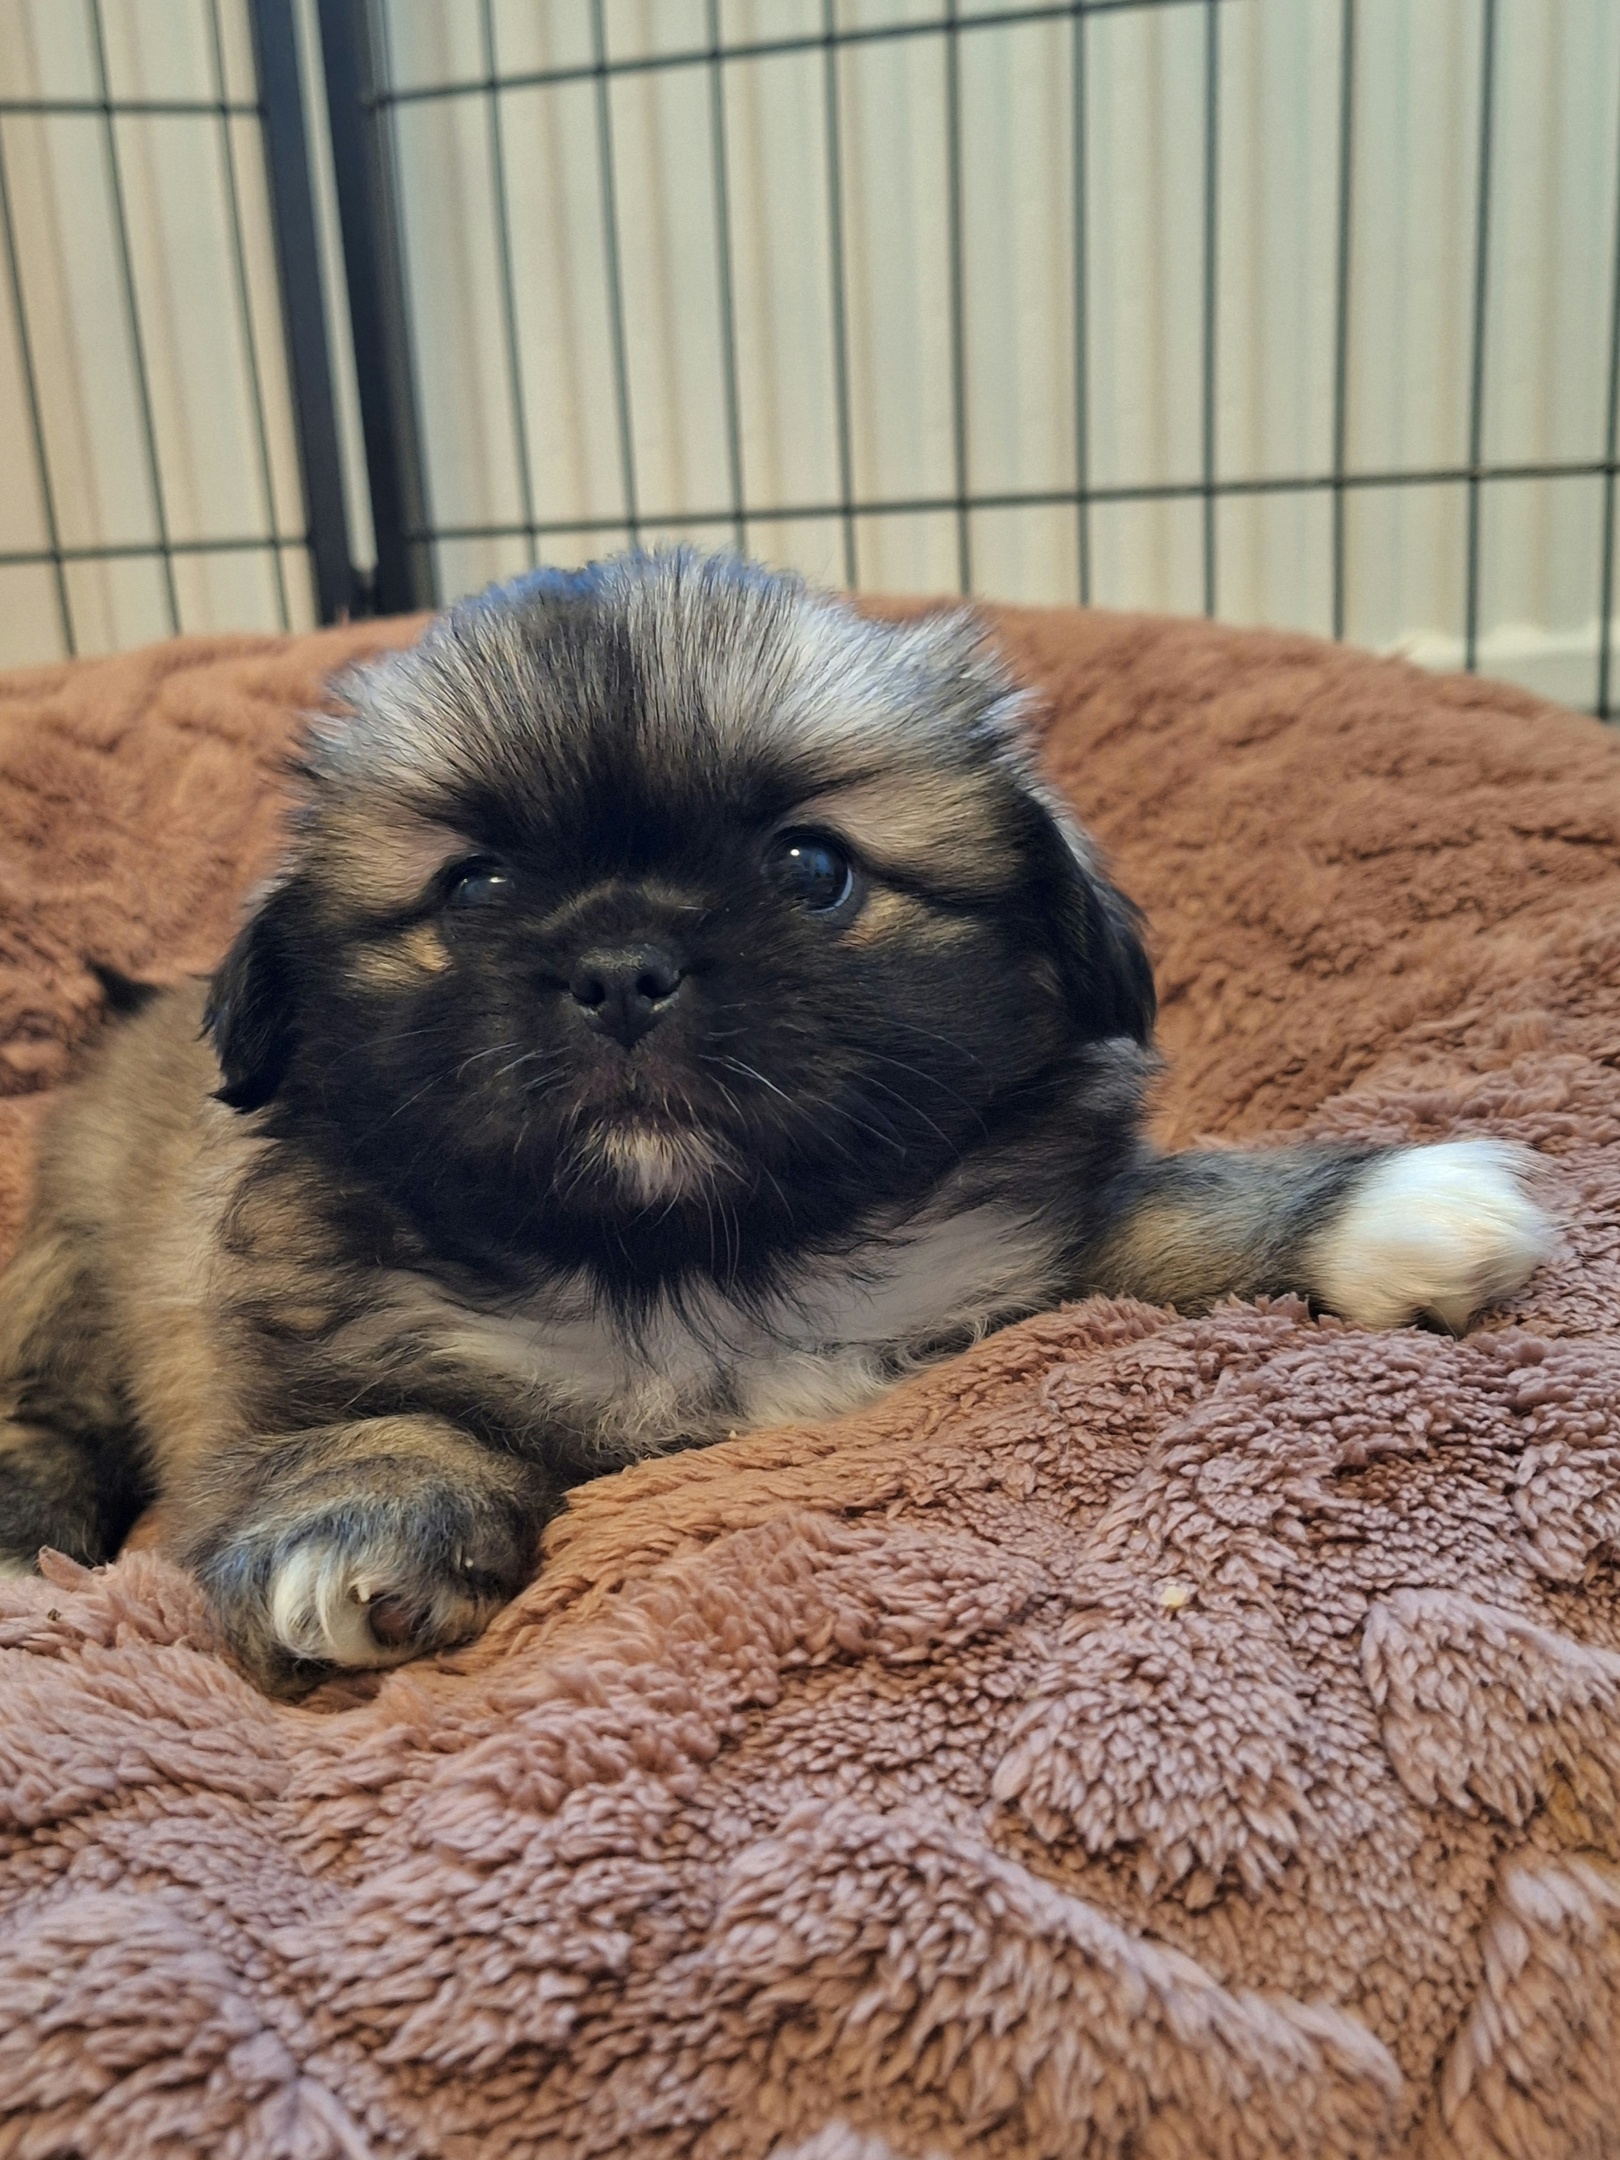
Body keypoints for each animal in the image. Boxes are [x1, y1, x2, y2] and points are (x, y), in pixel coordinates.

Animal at [0, 552, 1551, 1692]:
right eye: (476, 888)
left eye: (813, 866)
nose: (622, 967)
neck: (706, 1267)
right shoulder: (291, 1368)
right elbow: (372, 1419)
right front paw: (355, 1524)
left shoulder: (1010, 1255)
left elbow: (1166, 1216)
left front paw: (1390, 1213)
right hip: (68, 1287)